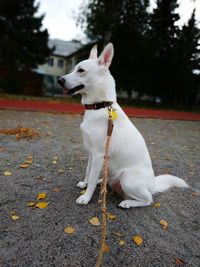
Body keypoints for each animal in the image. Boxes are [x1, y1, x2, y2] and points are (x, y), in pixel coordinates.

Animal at [57, 43, 188, 209]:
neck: (101, 106)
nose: (59, 80)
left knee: (148, 199)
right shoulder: (91, 153)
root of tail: (153, 185)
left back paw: (127, 202)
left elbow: (92, 178)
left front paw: (86, 197)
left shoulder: (99, 155)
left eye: (81, 70)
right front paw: (85, 184)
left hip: (127, 177)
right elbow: (88, 172)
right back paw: (103, 181)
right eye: (74, 68)